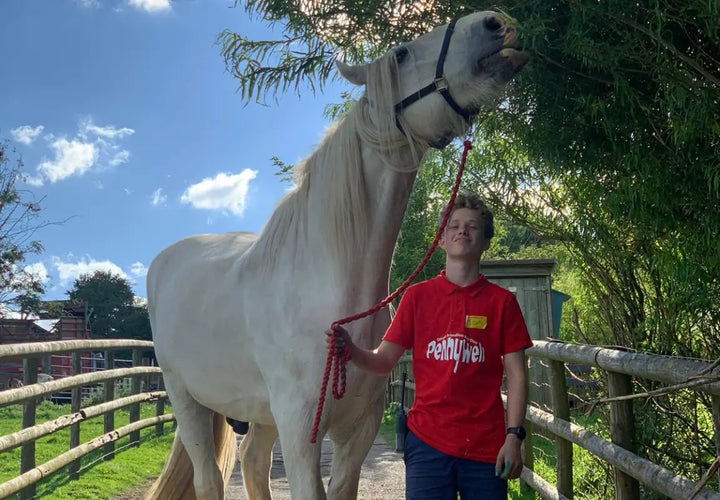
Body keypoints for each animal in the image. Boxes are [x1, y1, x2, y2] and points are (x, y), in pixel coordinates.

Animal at [146, 11, 527, 499]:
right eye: (401, 53)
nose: (495, 23)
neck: (327, 287)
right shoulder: (301, 435)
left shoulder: (356, 434)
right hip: (187, 401)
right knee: (208, 478)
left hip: (257, 414)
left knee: (252, 463)